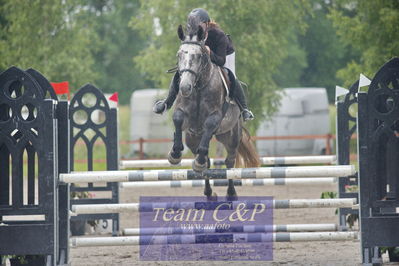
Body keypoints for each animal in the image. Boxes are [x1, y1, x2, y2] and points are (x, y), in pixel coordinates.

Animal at [167, 18, 260, 200]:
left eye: (198, 56)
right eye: (179, 55)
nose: (185, 87)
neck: (198, 87)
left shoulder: (215, 116)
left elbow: (209, 125)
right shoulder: (185, 118)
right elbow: (178, 119)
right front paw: (175, 154)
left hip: (230, 136)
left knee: (229, 162)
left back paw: (230, 193)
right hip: (193, 138)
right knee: (206, 162)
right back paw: (209, 191)